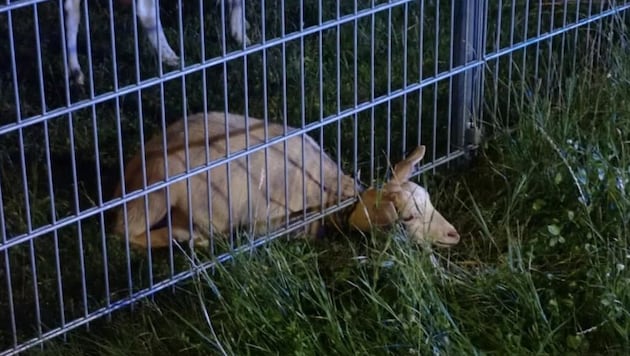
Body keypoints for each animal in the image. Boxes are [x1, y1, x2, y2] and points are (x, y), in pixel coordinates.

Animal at [63, 0, 252, 85]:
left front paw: (242, 26)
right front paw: (241, 36)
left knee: (70, 9)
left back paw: (76, 72)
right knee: (145, 11)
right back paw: (171, 57)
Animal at [111, 112, 462, 249]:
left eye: (430, 201)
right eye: (408, 217)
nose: (454, 234)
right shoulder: (267, 221)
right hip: (158, 188)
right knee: (124, 230)